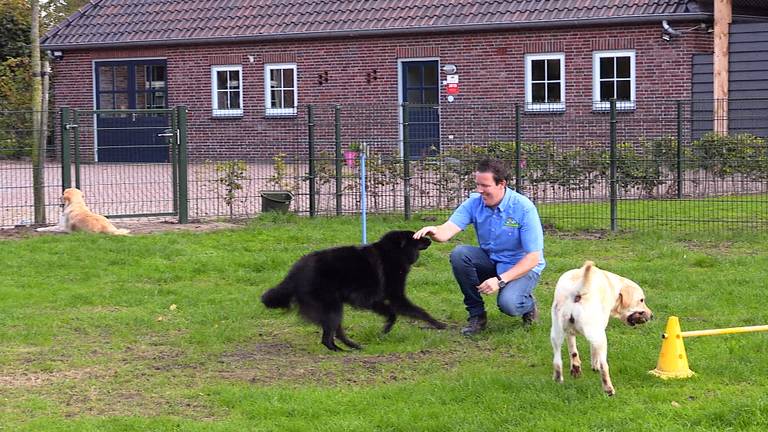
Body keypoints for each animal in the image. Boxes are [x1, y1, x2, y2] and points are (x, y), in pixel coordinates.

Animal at [260, 231, 448, 350]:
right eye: (418, 237)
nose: (430, 239)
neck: (392, 252)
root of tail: (295, 272)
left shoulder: (374, 300)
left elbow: (394, 313)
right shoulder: (391, 297)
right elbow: (413, 312)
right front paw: (438, 324)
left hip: (334, 308)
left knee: (334, 333)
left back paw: (351, 347)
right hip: (333, 307)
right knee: (328, 337)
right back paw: (345, 350)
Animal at [548, 260, 652, 394]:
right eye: (641, 300)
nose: (652, 315)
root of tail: (577, 292)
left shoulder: (569, 333)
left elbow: (573, 351)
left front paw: (575, 369)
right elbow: (594, 352)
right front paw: (594, 366)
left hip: (555, 335)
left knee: (557, 361)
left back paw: (558, 380)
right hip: (600, 337)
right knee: (604, 366)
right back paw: (609, 389)